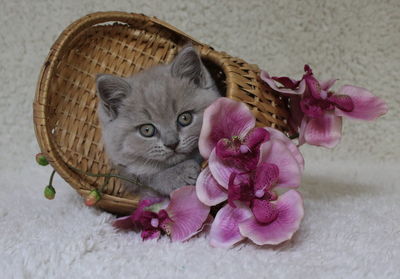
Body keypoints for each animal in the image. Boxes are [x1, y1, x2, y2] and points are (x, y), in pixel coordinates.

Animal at [95, 46, 220, 197]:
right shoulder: (126, 173)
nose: (172, 144)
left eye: (185, 118)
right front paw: (179, 174)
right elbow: (147, 177)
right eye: (147, 130)